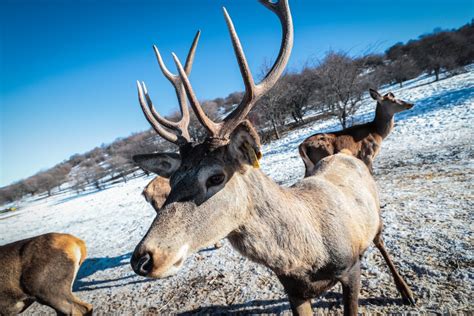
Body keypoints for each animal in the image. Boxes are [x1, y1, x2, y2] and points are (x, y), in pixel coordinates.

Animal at [131, 1, 414, 314]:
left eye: (215, 177)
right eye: (173, 180)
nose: (143, 258)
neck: (308, 255)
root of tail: (345, 156)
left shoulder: (350, 267)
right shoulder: (293, 290)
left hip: (374, 218)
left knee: (381, 243)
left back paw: (406, 292)